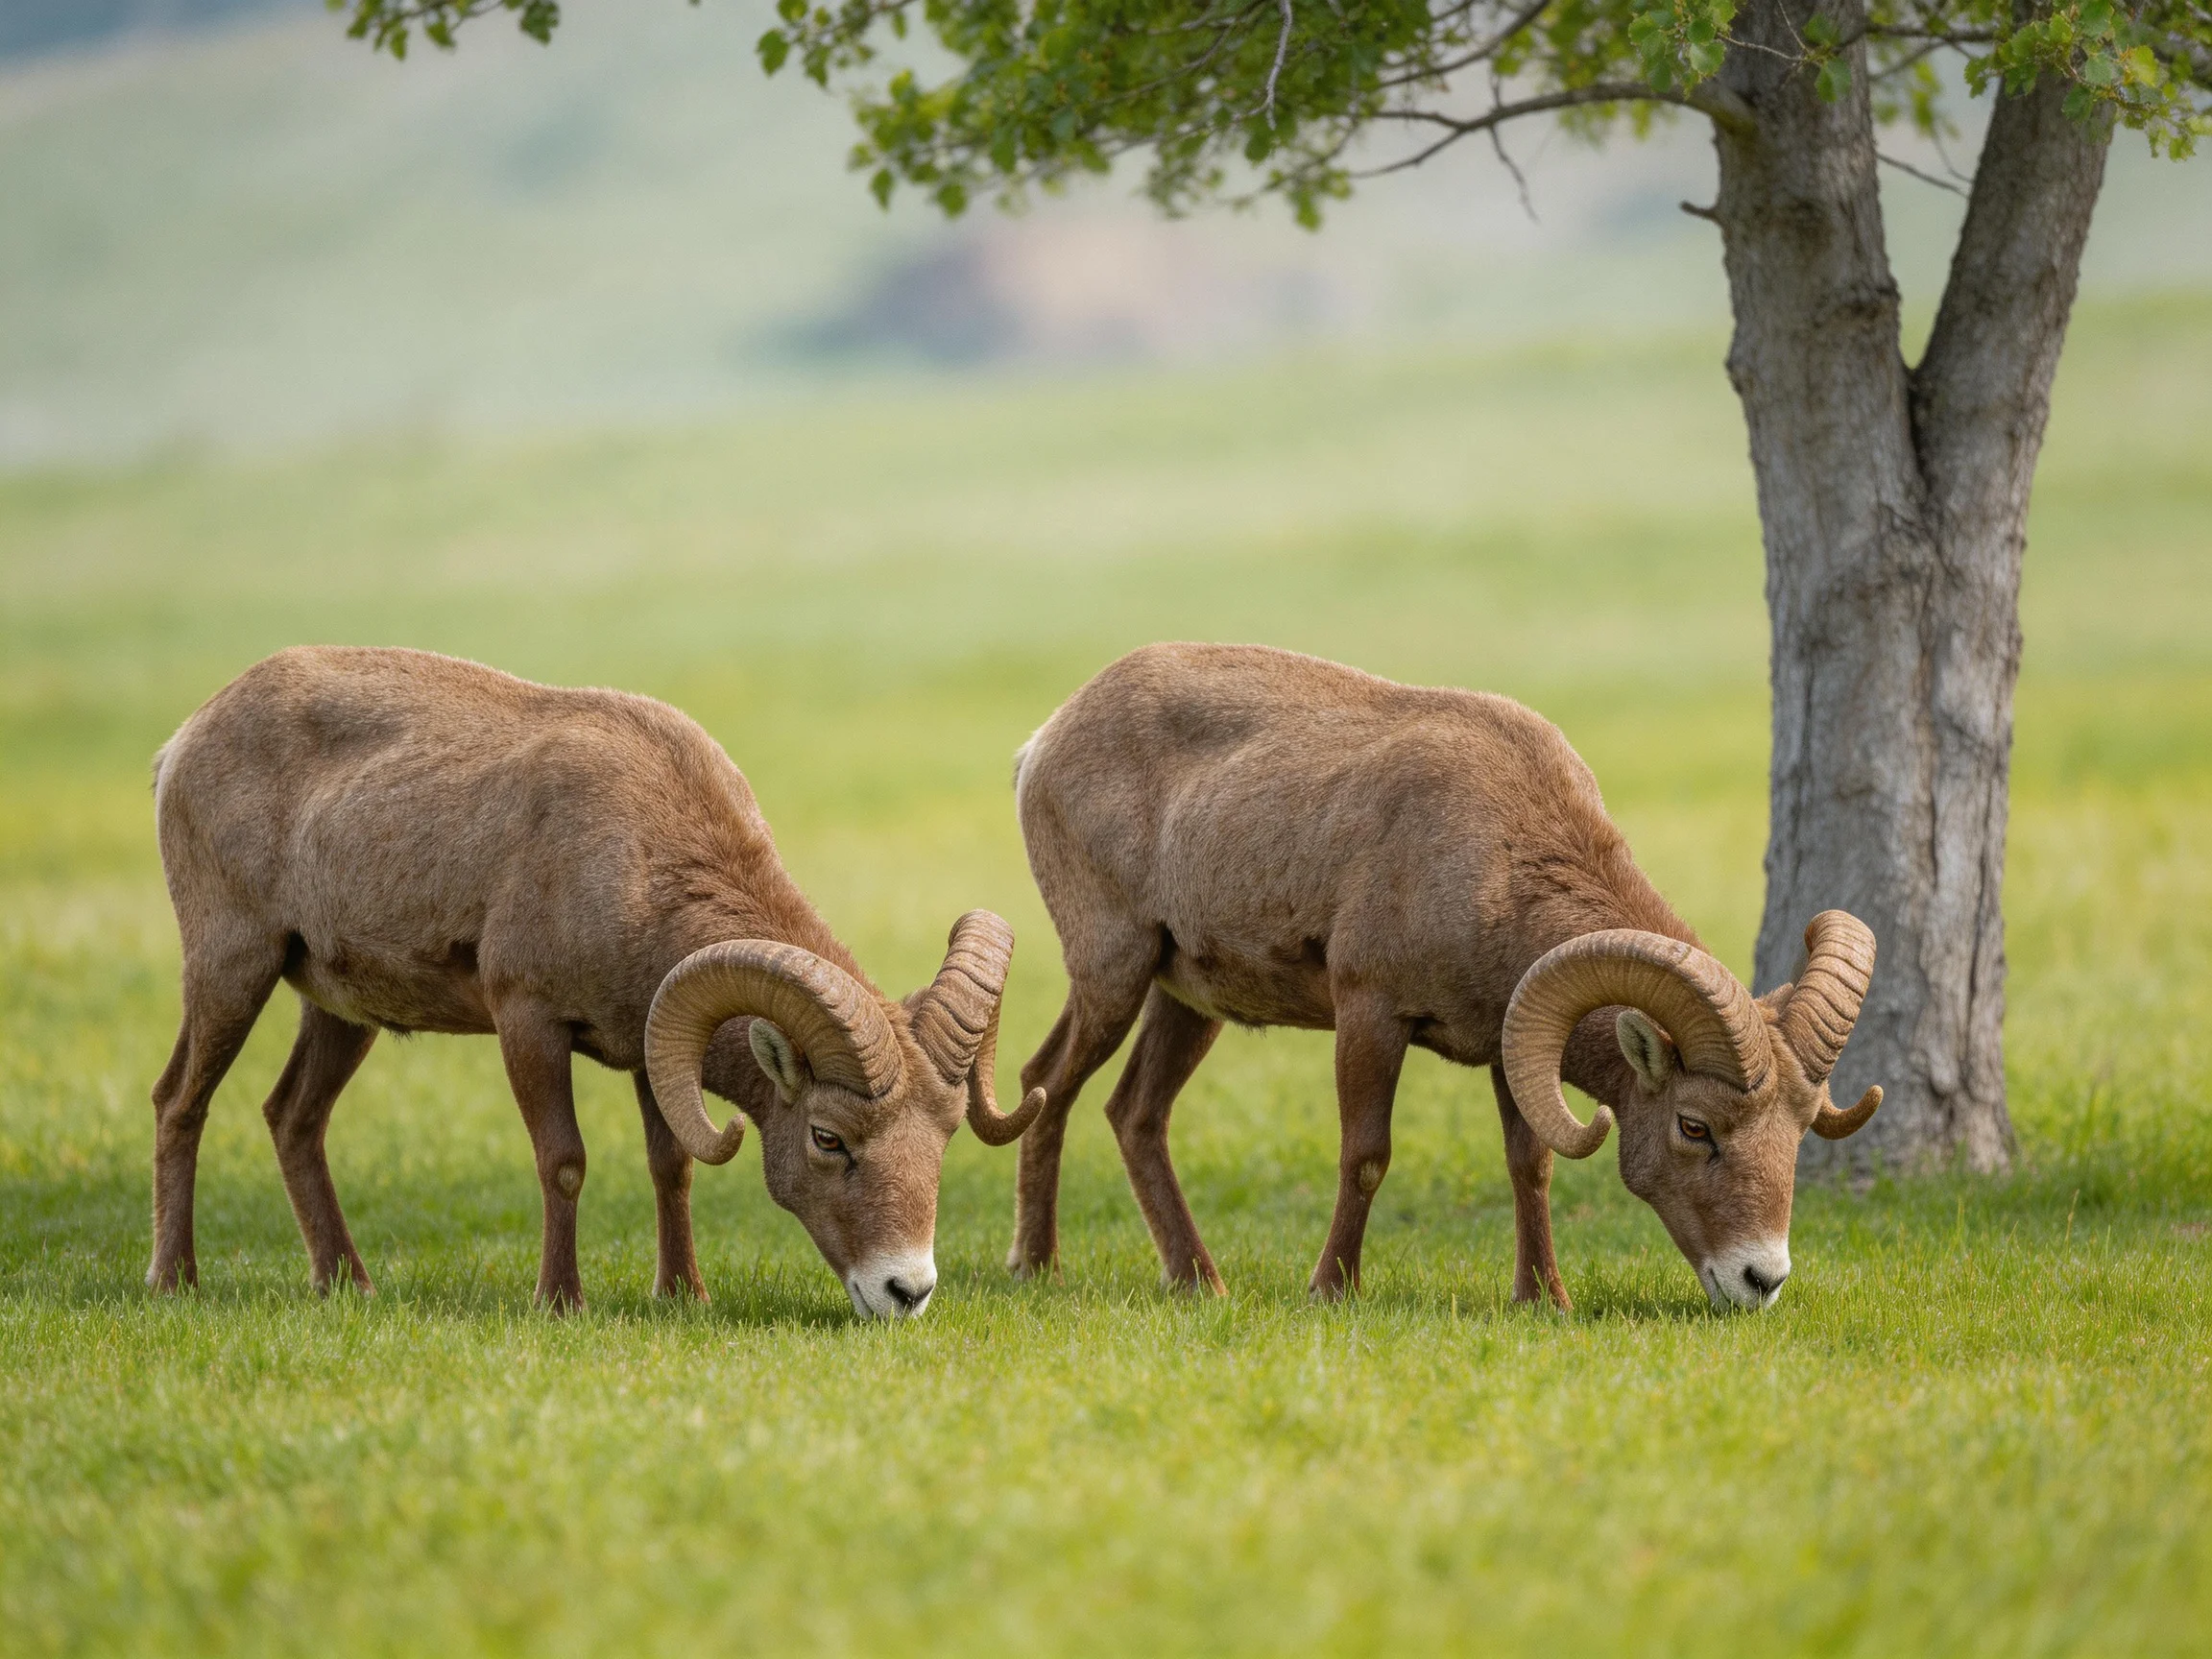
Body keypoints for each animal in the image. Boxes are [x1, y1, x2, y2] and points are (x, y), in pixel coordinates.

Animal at [146, 646, 1040, 1316]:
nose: (906, 1291)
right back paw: (175, 1281)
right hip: (232, 967)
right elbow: (563, 1161)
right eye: (828, 1139)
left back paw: (348, 1286)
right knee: (180, 1102)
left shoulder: (652, 1045)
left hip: (340, 1013)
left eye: (945, 1136)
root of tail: (184, 739)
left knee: (293, 1119)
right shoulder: (529, 1023)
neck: (640, 863)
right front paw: (560, 1302)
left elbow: (671, 1165)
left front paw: (683, 1297)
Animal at [1005, 642, 1881, 1310]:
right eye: (1694, 1127)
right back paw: (1038, 1269)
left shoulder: (1511, 1044)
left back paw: (1198, 1283)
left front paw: (1544, 1301)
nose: (1761, 1279)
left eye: (1801, 1128)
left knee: (1133, 1113)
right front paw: (1332, 1291)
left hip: (1187, 1002)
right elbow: (1366, 1155)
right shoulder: (1371, 1014)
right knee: (1046, 1083)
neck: (1497, 859)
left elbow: (1530, 1166)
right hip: (1114, 973)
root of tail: (1042, 742)